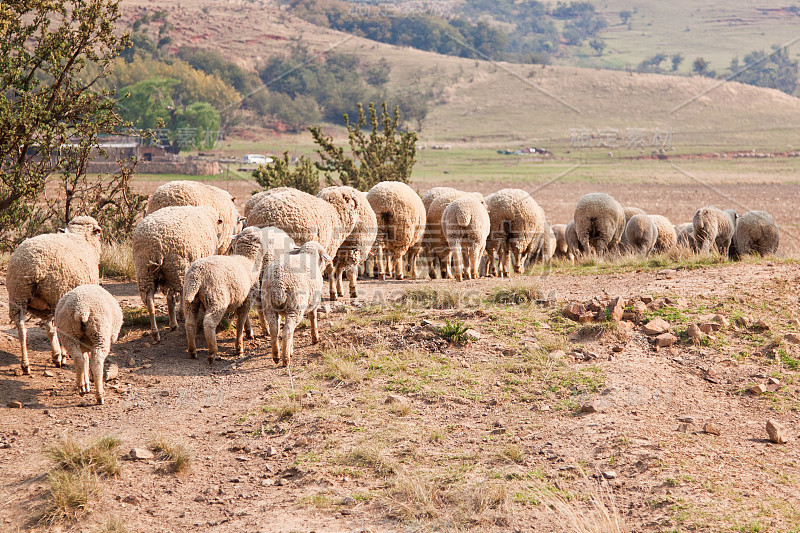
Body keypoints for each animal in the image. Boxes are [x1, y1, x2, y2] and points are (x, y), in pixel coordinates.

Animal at [5, 216, 102, 374]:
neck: (79, 237)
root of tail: (34, 266)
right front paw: (61, 355)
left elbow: (49, 329)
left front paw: (56, 354)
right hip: (57, 293)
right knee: (58, 328)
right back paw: (60, 357)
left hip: (18, 295)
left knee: (22, 328)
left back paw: (26, 364)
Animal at [130, 204, 225, 340]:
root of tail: (154, 246)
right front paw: (181, 313)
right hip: (176, 268)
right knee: (171, 298)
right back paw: (173, 324)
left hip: (144, 271)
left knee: (149, 301)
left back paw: (155, 333)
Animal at [182, 224, 266, 362]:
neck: (248, 259)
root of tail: (196, 275)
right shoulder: (248, 298)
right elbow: (240, 322)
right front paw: (239, 347)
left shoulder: (242, 298)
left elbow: (245, 319)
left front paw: (249, 332)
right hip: (216, 299)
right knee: (209, 323)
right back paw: (212, 352)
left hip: (190, 300)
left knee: (190, 323)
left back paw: (192, 351)